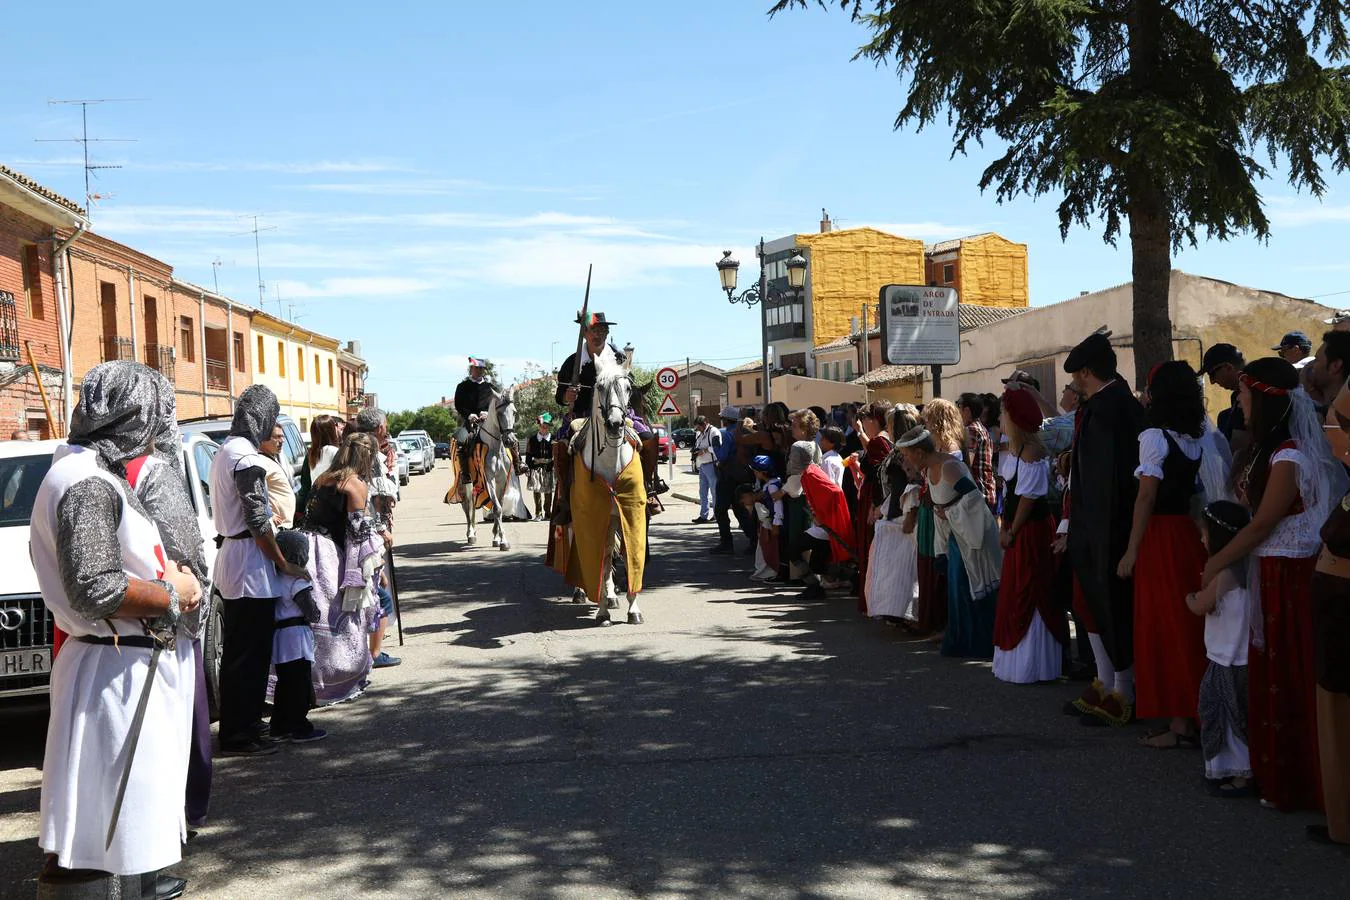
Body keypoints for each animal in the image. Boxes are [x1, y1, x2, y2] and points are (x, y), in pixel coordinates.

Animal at [461, 385, 529, 550]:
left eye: (514, 412)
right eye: (499, 413)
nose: (510, 441)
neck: (495, 448)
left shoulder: (502, 480)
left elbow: (500, 506)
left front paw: (497, 537)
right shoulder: (489, 480)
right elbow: (497, 507)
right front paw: (503, 540)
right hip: (467, 481)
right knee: (468, 505)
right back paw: (470, 534)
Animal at [567, 348, 645, 626]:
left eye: (627, 387)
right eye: (599, 386)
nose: (614, 423)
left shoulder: (629, 513)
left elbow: (629, 555)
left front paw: (633, 609)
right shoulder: (592, 517)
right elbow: (597, 560)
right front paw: (601, 611)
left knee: (611, 551)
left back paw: (612, 595)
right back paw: (582, 592)